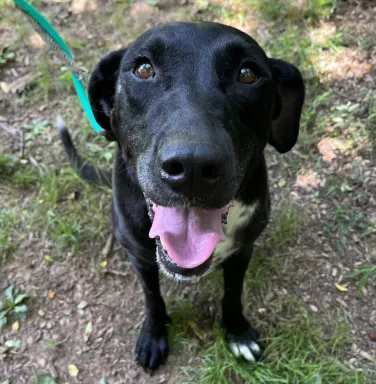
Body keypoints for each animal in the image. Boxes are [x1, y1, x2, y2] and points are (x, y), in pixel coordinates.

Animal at [58, 21, 306, 368]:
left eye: (247, 74)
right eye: (144, 68)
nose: (193, 166)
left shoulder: (242, 251)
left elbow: (233, 293)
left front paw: (237, 331)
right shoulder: (141, 258)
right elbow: (152, 297)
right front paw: (153, 335)